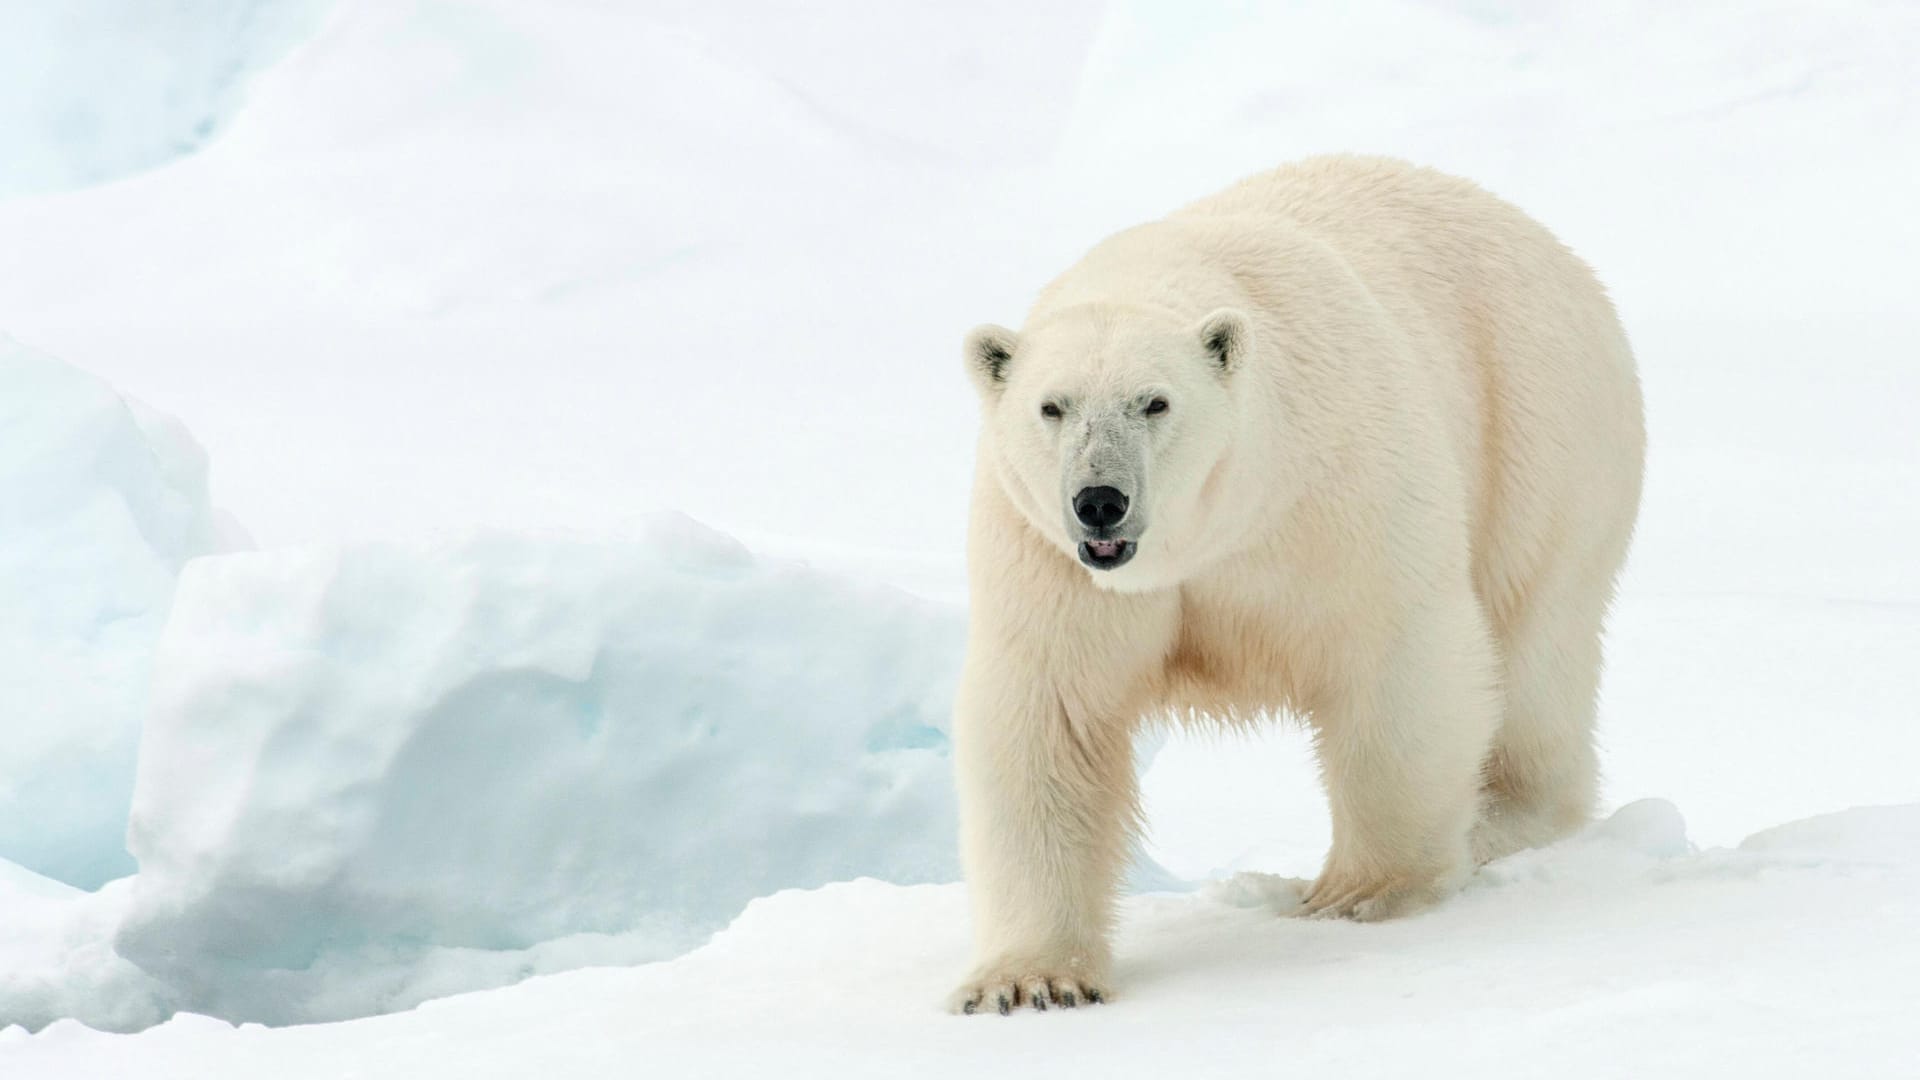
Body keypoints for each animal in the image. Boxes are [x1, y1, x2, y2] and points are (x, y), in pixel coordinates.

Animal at [952, 153, 1643, 1006]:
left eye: (1155, 402)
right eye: (1053, 406)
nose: (1100, 501)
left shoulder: (1338, 489)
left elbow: (1395, 660)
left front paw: (1361, 892)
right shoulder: (1047, 560)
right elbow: (1051, 716)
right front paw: (1027, 982)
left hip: (1539, 436)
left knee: (1533, 646)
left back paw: (1497, 818)